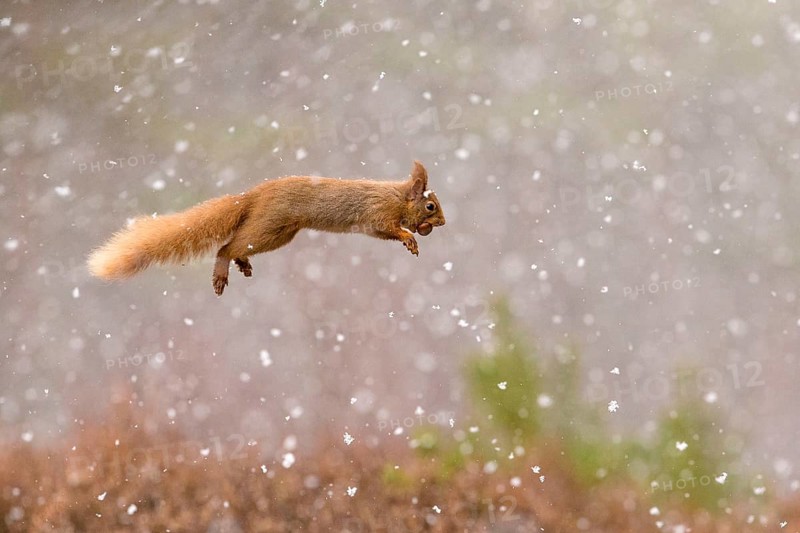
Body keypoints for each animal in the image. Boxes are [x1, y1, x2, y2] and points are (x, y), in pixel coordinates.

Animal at [88, 160, 445, 295]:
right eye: (431, 206)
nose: (442, 223)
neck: (398, 197)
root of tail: (252, 196)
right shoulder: (378, 213)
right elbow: (389, 228)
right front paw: (409, 238)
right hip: (269, 226)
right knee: (226, 246)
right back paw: (223, 270)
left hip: (279, 234)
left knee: (236, 245)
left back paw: (242, 264)